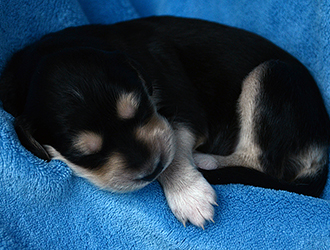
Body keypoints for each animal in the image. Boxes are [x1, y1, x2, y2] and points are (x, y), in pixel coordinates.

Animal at [0, 16, 330, 229]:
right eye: (82, 154)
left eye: (142, 109)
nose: (151, 169)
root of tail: (322, 150)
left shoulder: (184, 112)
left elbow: (174, 143)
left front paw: (189, 195)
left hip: (272, 75)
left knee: (262, 161)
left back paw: (207, 160)